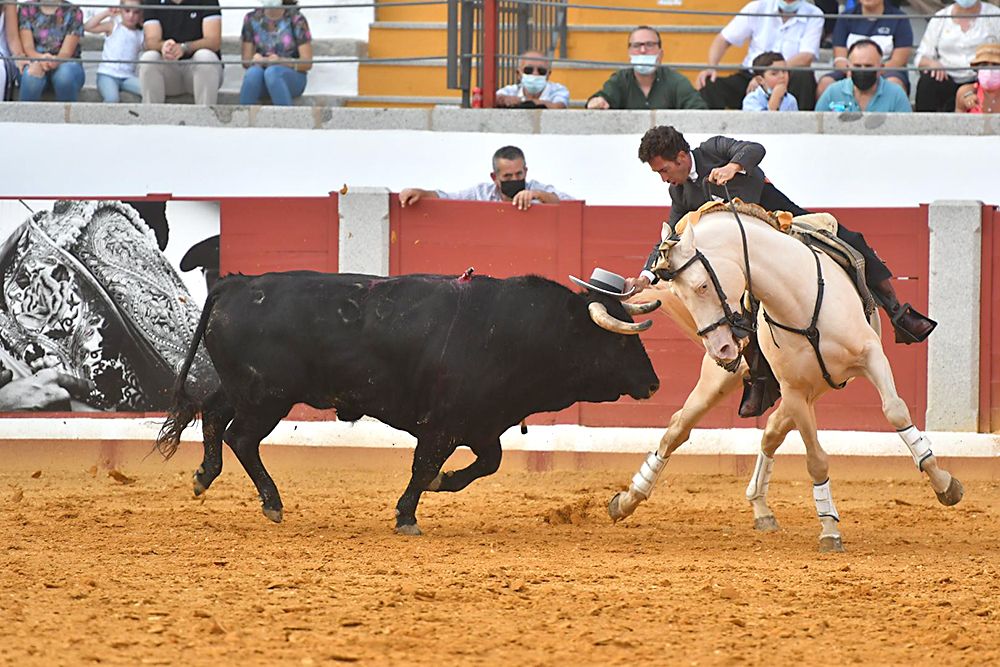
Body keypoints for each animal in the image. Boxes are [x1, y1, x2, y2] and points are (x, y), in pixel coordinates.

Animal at [158, 268, 664, 536]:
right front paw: (407, 516)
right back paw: (272, 502)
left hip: (244, 388)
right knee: (241, 437)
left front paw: (444, 483)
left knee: (214, 415)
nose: (654, 383)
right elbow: (423, 466)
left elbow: (487, 463)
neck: (519, 333)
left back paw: (203, 477)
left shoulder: (482, 424)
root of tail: (236, 284)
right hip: (267, 397)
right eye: (621, 342)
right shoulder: (442, 424)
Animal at [604, 210, 964, 552]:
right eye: (680, 293)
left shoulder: (871, 357)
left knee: (770, 433)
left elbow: (896, 411)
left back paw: (760, 506)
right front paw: (830, 528)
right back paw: (627, 500)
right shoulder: (793, 389)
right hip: (729, 383)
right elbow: (816, 459)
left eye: (702, 286)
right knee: (680, 427)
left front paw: (945, 484)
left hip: (816, 388)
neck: (799, 303)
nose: (722, 348)